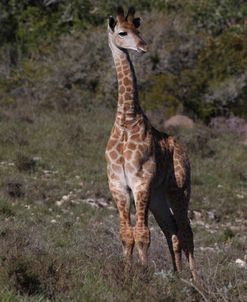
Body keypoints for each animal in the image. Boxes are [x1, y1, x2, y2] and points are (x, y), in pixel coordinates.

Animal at [105, 6, 198, 280]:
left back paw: (196, 281)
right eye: (122, 32)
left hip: (179, 189)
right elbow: (126, 234)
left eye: (138, 30)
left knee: (186, 230)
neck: (126, 120)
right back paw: (178, 276)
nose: (143, 46)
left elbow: (143, 234)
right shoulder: (118, 185)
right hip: (158, 196)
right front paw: (127, 272)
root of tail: (183, 150)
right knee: (172, 229)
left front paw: (143, 274)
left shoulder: (140, 182)